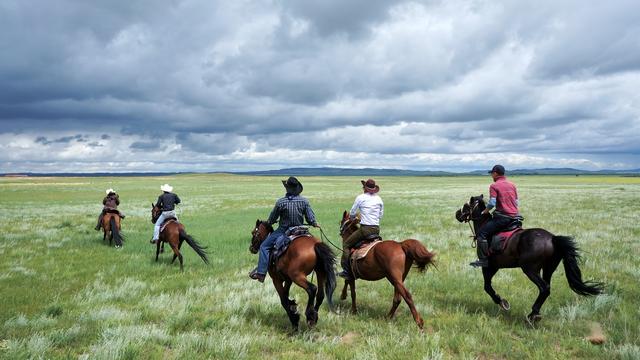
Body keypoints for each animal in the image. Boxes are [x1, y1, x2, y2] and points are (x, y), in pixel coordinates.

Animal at [456, 195, 604, 324]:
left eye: (466, 205)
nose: (457, 214)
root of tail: (552, 238)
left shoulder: (488, 266)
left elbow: (487, 287)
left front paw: (502, 302)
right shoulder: (495, 267)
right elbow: (488, 286)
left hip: (530, 269)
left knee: (544, 288)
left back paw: (533, 315)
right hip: (548, 268)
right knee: (547, 288)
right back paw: (535, 314)